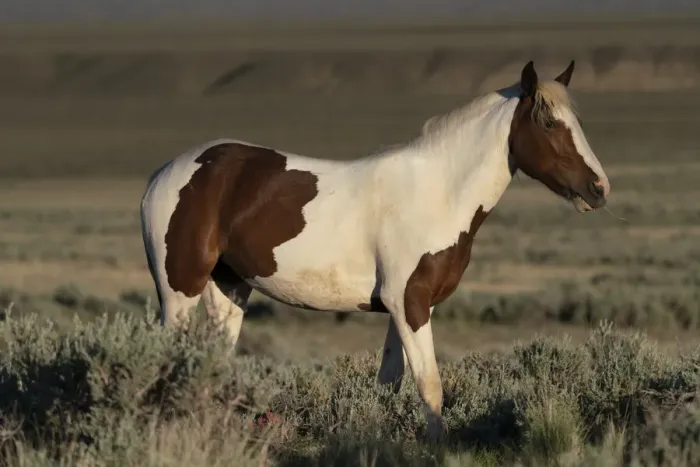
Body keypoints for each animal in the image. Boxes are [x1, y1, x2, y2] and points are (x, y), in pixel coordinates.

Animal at [139, 60, 610, 441]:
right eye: (548, 124)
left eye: (577, 121)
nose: (599, 188)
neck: (437, 192)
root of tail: (164, 173)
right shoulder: (408, 303)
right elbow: (430, 386)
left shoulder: (410, 307)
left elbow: (390, 382)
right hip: (179, 291)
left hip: (230, 289)